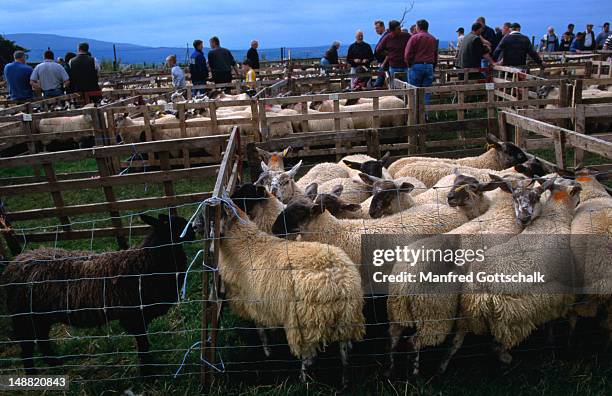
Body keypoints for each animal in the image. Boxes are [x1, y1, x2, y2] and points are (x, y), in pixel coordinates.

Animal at [0, 215, 196, 376]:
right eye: (174, 225)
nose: (194, 231)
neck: (145, 262)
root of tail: (14, 264)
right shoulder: (134, 316)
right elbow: (143, 344)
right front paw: (148, 371)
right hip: (24, 317)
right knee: (26, 347)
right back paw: (32, 373)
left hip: (40, 317)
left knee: (42, 339)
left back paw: (54, 363)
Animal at [210, 196, 364, 386]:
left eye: (215, 219)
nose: (195, 228)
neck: (243, 244)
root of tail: (341, 284)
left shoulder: (252, 302)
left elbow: (261, 332)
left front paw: (267, 352)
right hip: (346, 319)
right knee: (344, 351)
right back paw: (345, 380)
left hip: (306, 322)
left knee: (309, 357)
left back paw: (303, 380)